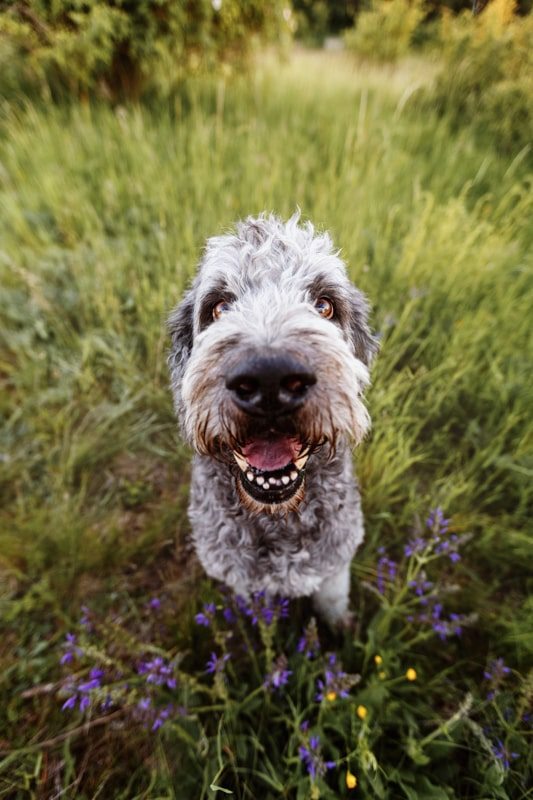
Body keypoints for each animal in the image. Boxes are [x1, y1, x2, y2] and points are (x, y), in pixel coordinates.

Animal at [168, 214, 376, 624]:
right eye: (219, 307)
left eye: (324, 305)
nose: (270, 379)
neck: (278, 515)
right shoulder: (240, 577)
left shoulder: (335, 562)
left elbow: (332, 603)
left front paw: (341, 631)